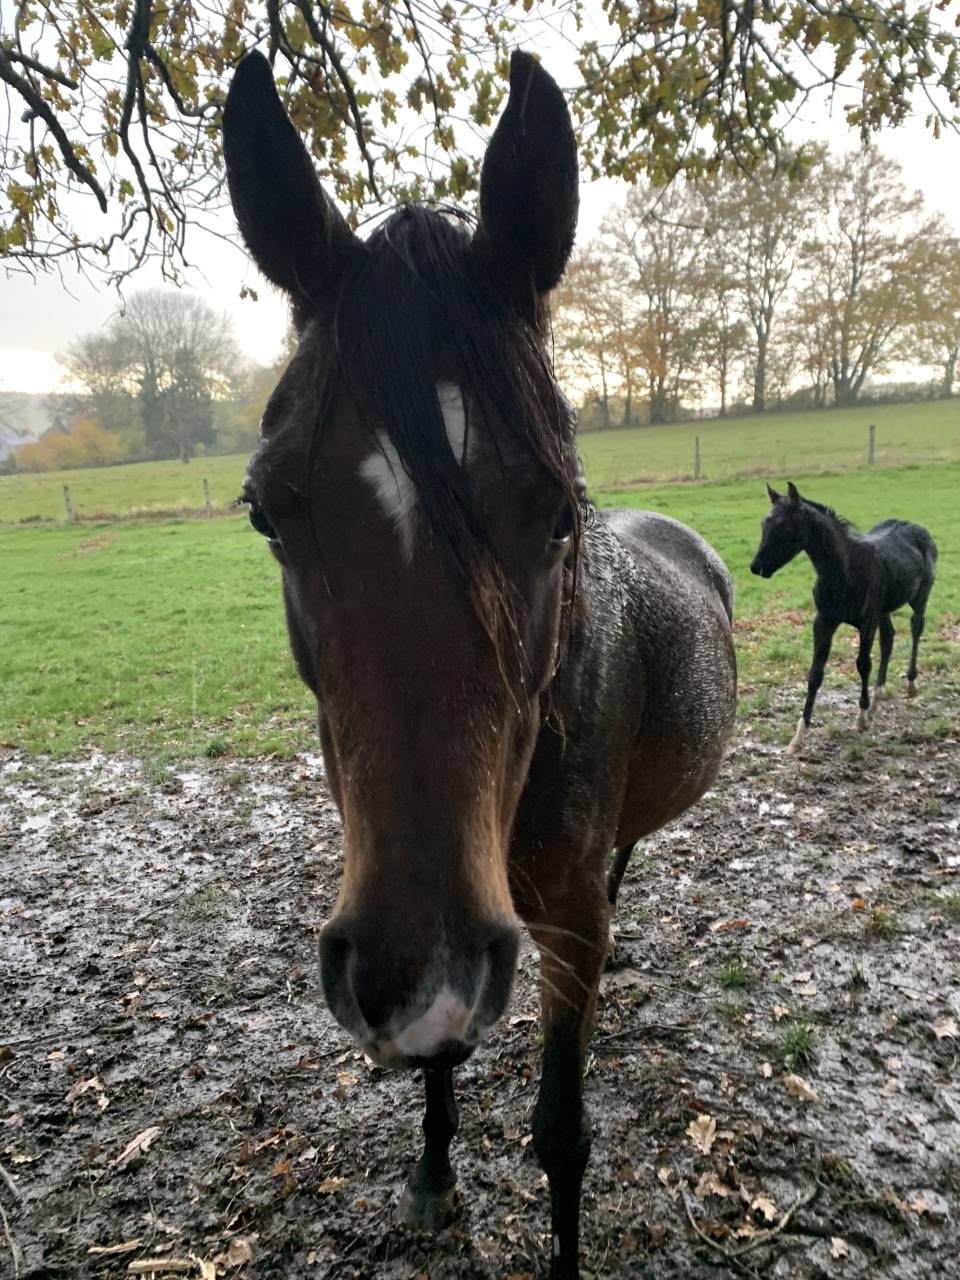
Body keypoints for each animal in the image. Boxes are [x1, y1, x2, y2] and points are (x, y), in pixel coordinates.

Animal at [223, 50, 737, 1279]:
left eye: (556, 513)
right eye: (268, 512)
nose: (420, 971)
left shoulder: (540, 930)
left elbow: (560, 1130)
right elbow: (444, 1059)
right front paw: (431, 1171)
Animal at [750, 481, 937, 754]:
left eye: (786, 526)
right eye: (764, 523)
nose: (757, 567)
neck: (844, 570)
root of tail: (916, 527)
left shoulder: (866, 622)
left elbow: (863, 664)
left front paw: (861, 718)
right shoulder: (824, 622)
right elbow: (815, 673)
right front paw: (798, 737)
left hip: (919, 597)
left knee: (916, 627)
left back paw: (910, 686)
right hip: (884, 610)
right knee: (889, 639)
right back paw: (877, 700)